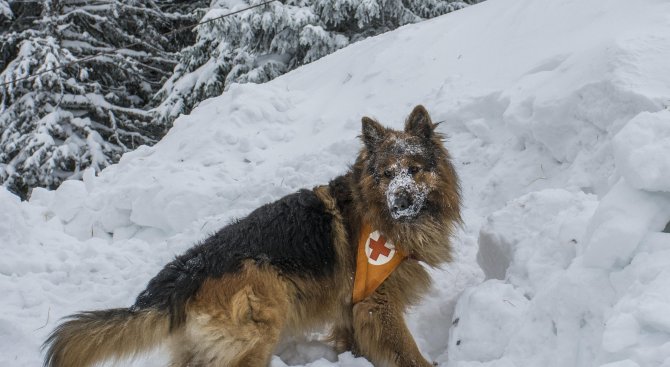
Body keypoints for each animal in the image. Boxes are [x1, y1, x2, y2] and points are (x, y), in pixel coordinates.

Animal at [42, 105, 462, 366]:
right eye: (388, 174)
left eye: (414, 169)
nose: (402, 201)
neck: (374, 210)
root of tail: (185, 272)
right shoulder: (376, 304)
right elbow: (408, 354)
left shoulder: (351, 309)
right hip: (260, 326)